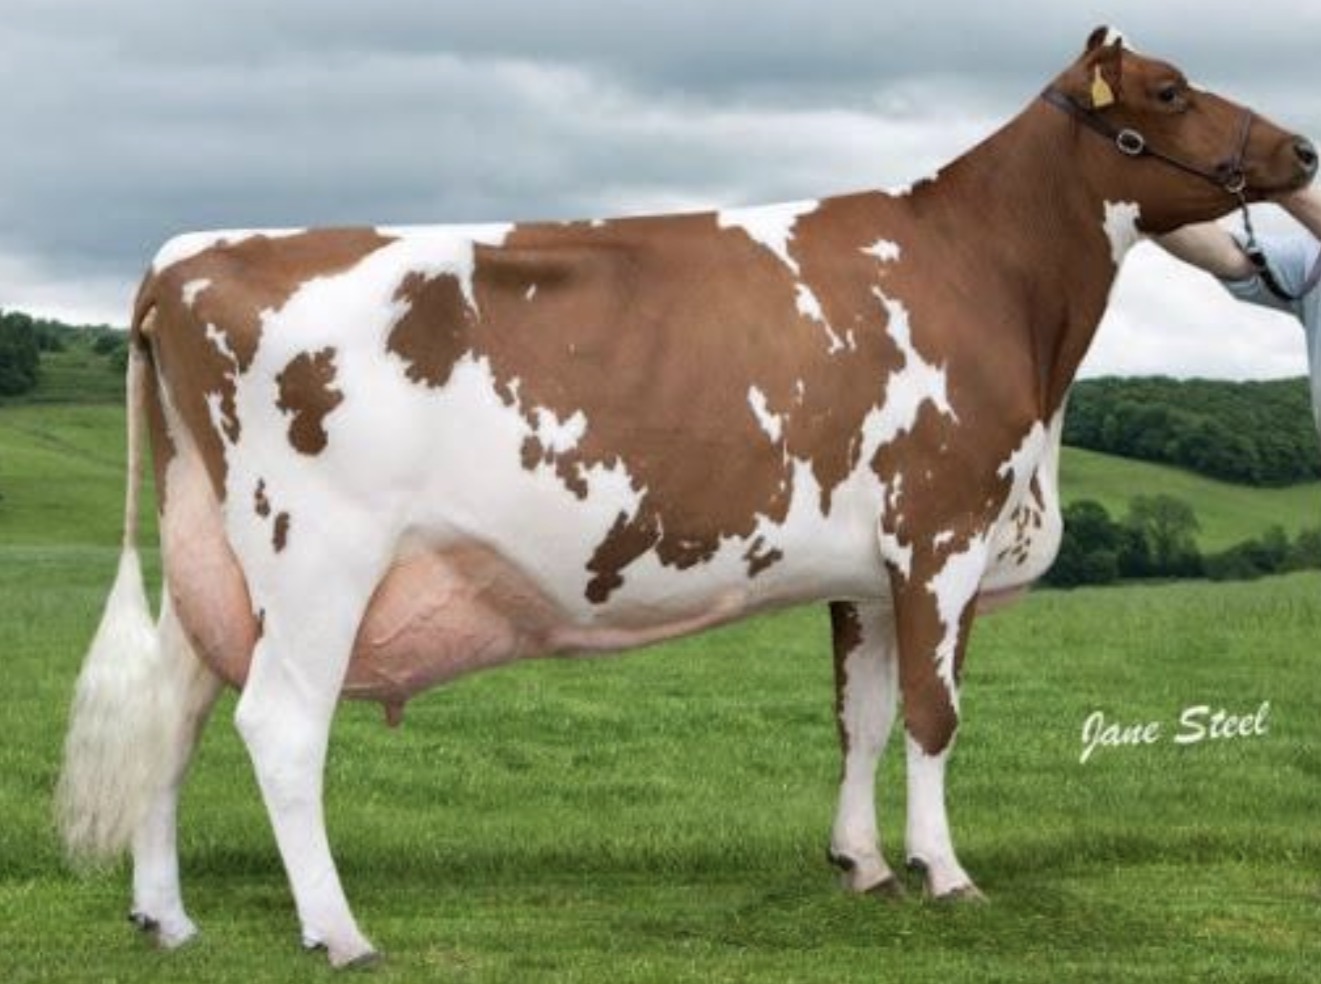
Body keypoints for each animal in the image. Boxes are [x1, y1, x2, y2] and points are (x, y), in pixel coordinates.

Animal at [57, 28, 1315, 967]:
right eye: (1169, 90)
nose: (1301, 148)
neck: (987, 280)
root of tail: (189, 255)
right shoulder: (940, 535)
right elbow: (932, 716)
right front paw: (945, 873)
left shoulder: (866, 571)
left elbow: (860, 716)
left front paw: (862, 864)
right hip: (318, 554)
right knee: (277, 723)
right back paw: (337, 931)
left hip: (214, 559)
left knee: (173, 711)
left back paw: (165, 916)